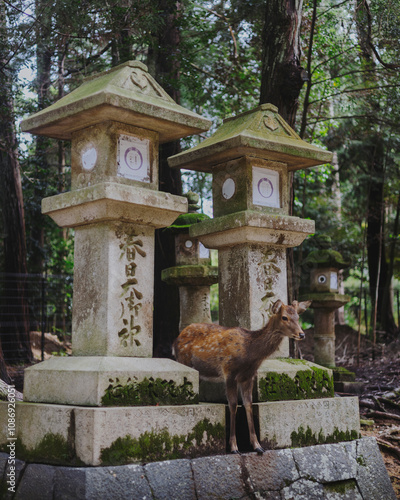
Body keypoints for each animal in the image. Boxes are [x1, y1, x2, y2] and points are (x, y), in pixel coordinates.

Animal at [173, 298, 310, 456]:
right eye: (284, 317)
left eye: (298, 317)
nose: (302, 334)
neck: (250, 353)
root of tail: (176, 339)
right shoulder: (229, 371)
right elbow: (233, 405)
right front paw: (234, 447)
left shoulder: (248, 376)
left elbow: (248, 404)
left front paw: (257, 446)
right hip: (183, 361)